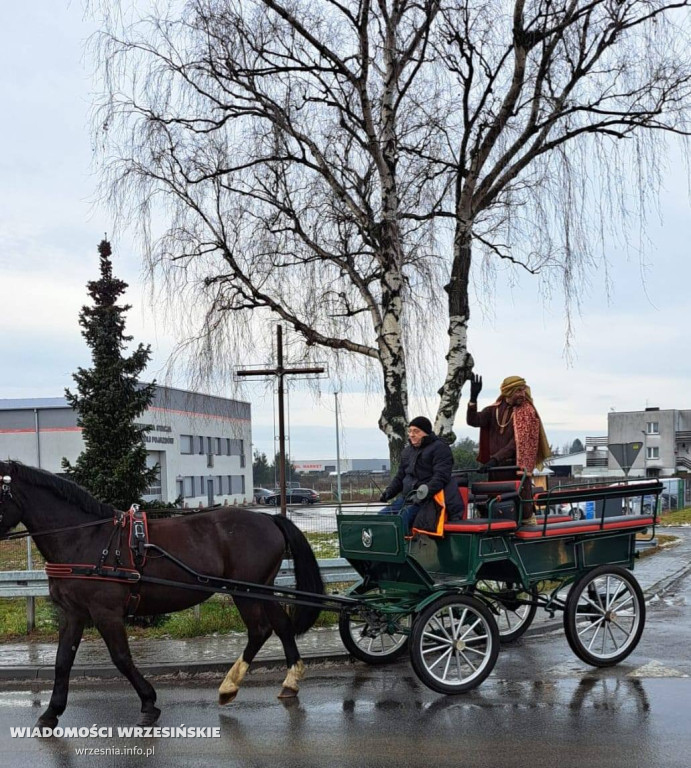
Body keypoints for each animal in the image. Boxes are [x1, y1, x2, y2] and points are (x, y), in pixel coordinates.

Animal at [0, 460, 324, 728]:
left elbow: (121, 658)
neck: (86, 538)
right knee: (282, 626)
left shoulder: (106, 612)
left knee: (259, 630)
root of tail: (269, 519)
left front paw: (148, 702)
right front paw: (51, 712)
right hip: (262, 588)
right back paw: (290, 682)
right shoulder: (73, 613)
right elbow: (62, 661)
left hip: (245, 590)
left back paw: (229, 686)